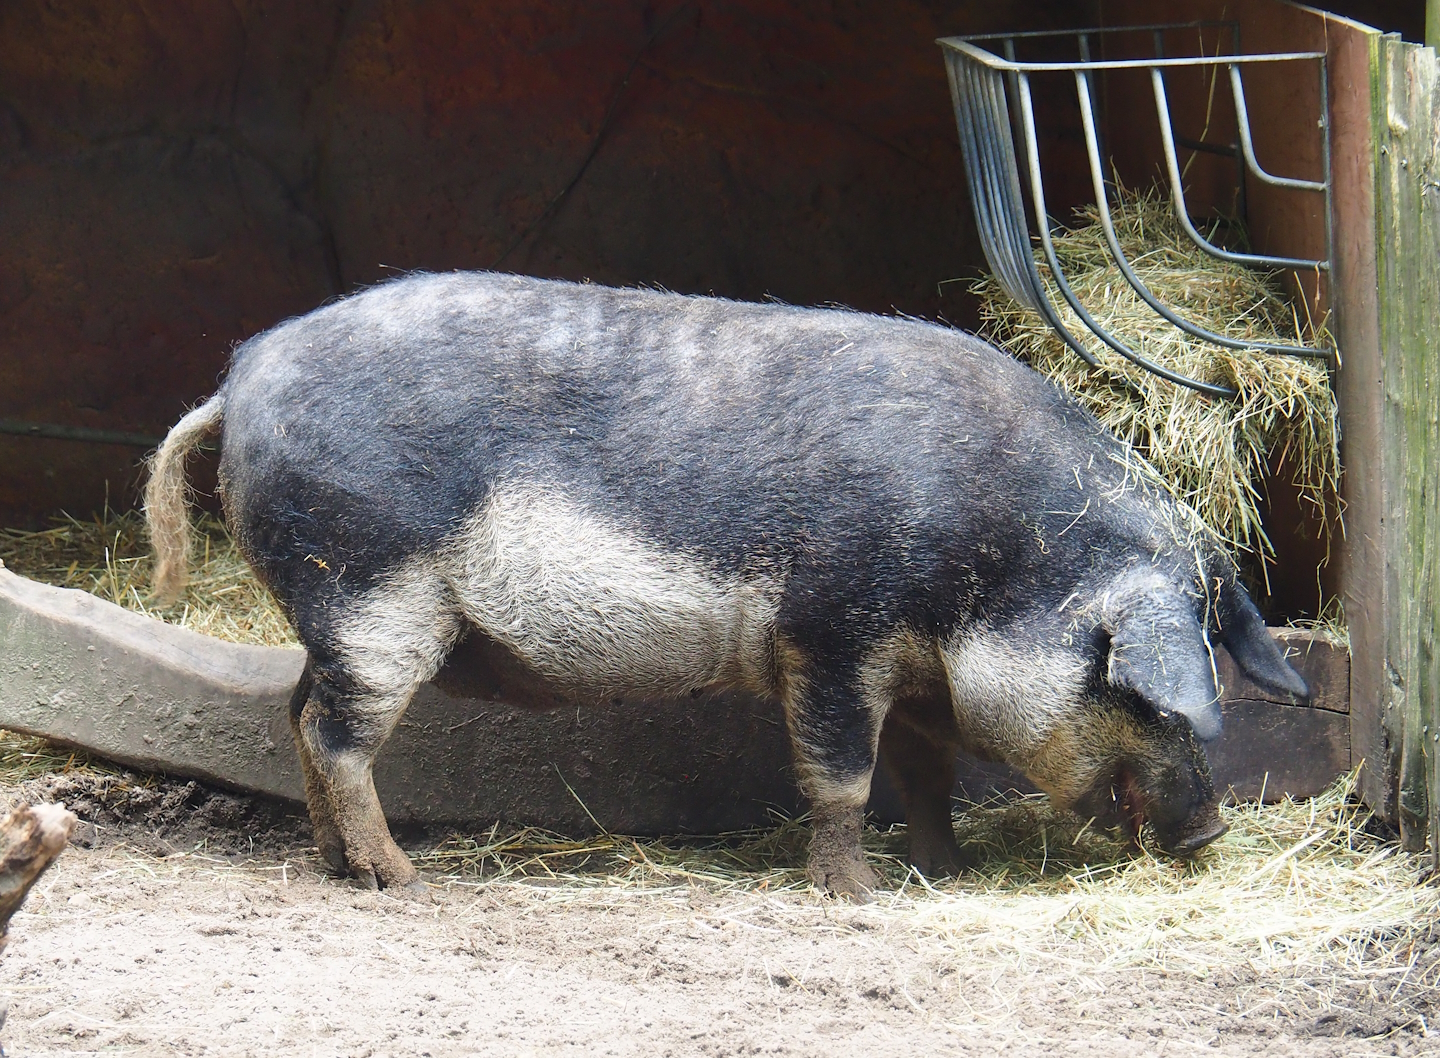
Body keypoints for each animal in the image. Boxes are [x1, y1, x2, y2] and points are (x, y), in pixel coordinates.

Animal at [144, 271, 1308, 898]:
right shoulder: (831, 631)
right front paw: (858, 895)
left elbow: (925, 769)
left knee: (299, 715)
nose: (1209, 834)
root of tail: (238, 382)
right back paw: (400, 878)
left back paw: (339, 865)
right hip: (369, 592)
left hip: (338, 610)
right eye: (1142, 695)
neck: (995, 564)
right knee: (336, 734)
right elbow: (843, 776)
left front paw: (946, 872)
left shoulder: (915, 664)